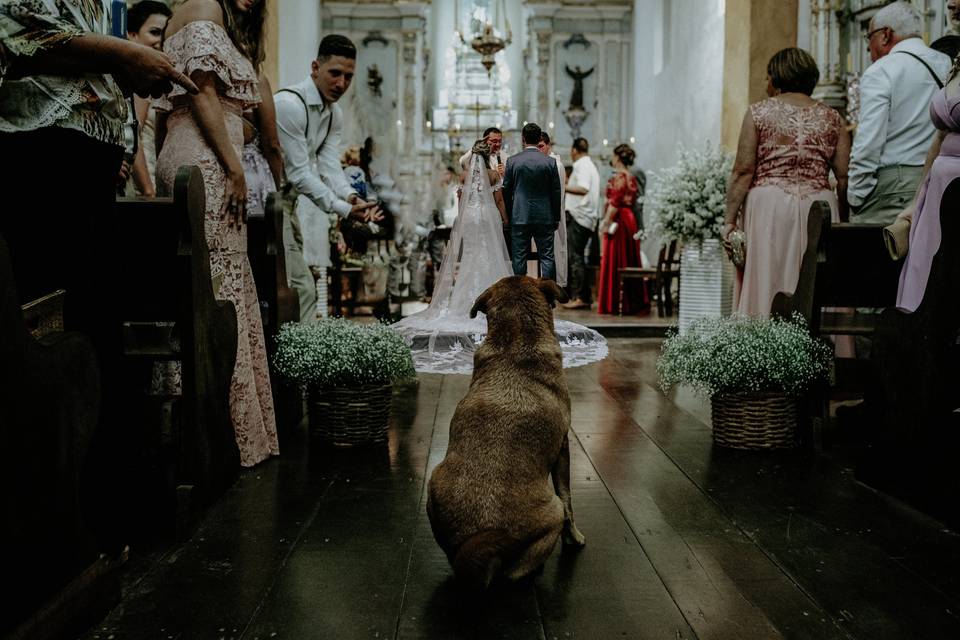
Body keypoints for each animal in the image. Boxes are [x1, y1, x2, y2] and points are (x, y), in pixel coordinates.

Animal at [428, 276, 584, 592]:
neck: (516, 341)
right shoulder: (563, 447)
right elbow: (569, 497)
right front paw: (574, 539)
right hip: (553, 512)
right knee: (515, 573)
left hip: (432, 484)